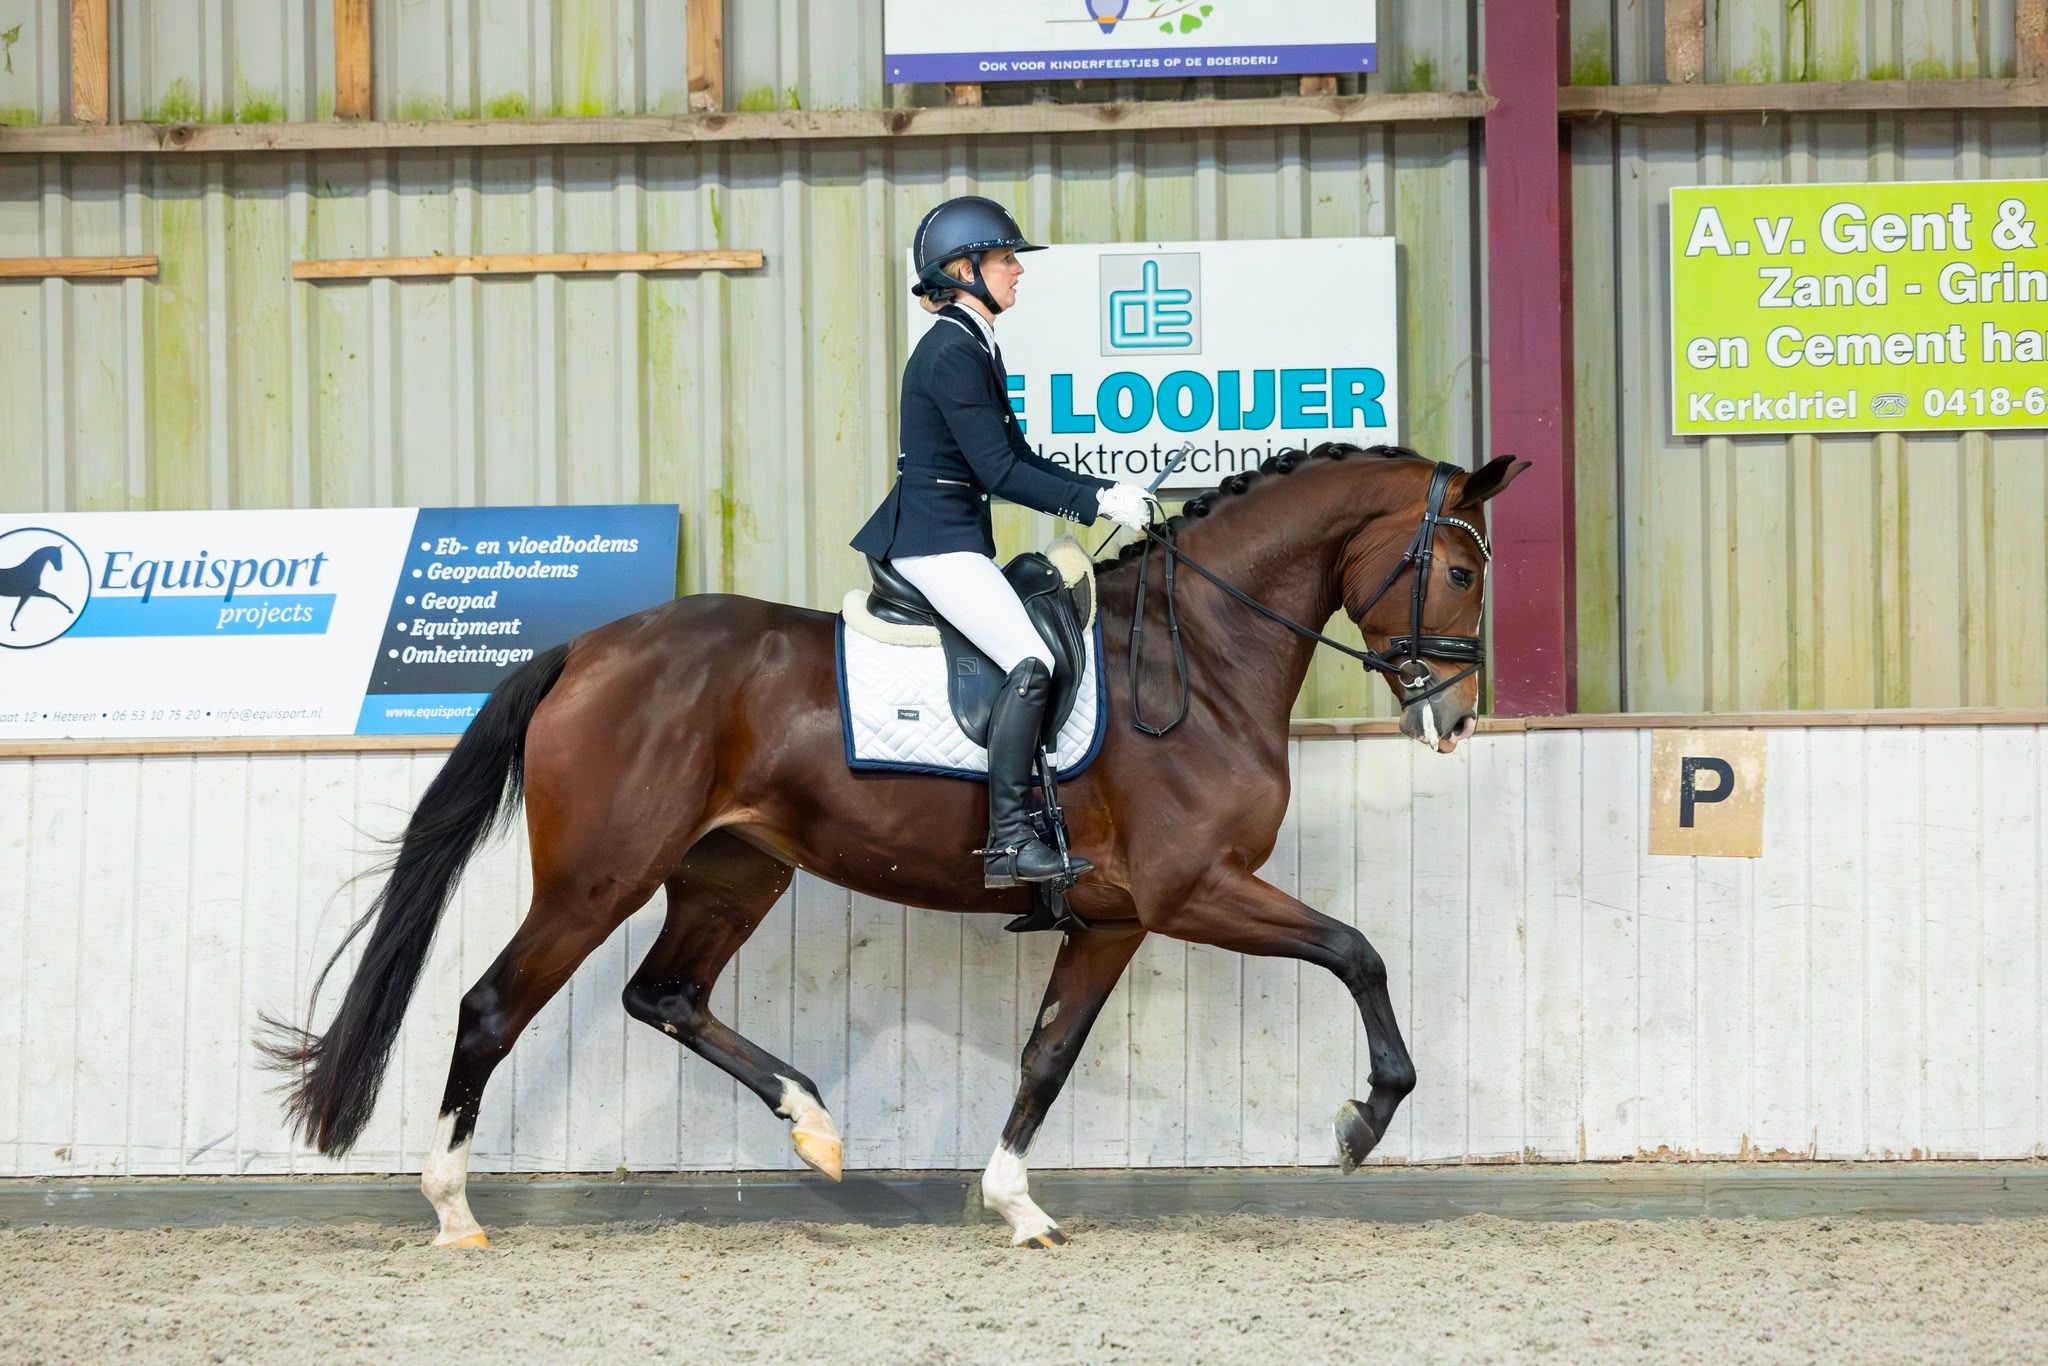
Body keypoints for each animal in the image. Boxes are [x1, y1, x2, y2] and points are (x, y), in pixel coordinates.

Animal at [259, 441, 1527, 1249]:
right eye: (1461, 568)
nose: (1456, 718)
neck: (1196, 658)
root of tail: (589, 647)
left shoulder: (1113, 917)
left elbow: (1046, 1055)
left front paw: (1016, 1205)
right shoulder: (1193, 889)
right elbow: (1357, 950)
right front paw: (1365, 1117)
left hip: (734, 869)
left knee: (663, 994)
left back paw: (815, 1127)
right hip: (598, 875)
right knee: (490, 1007)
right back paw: (453, 1209)